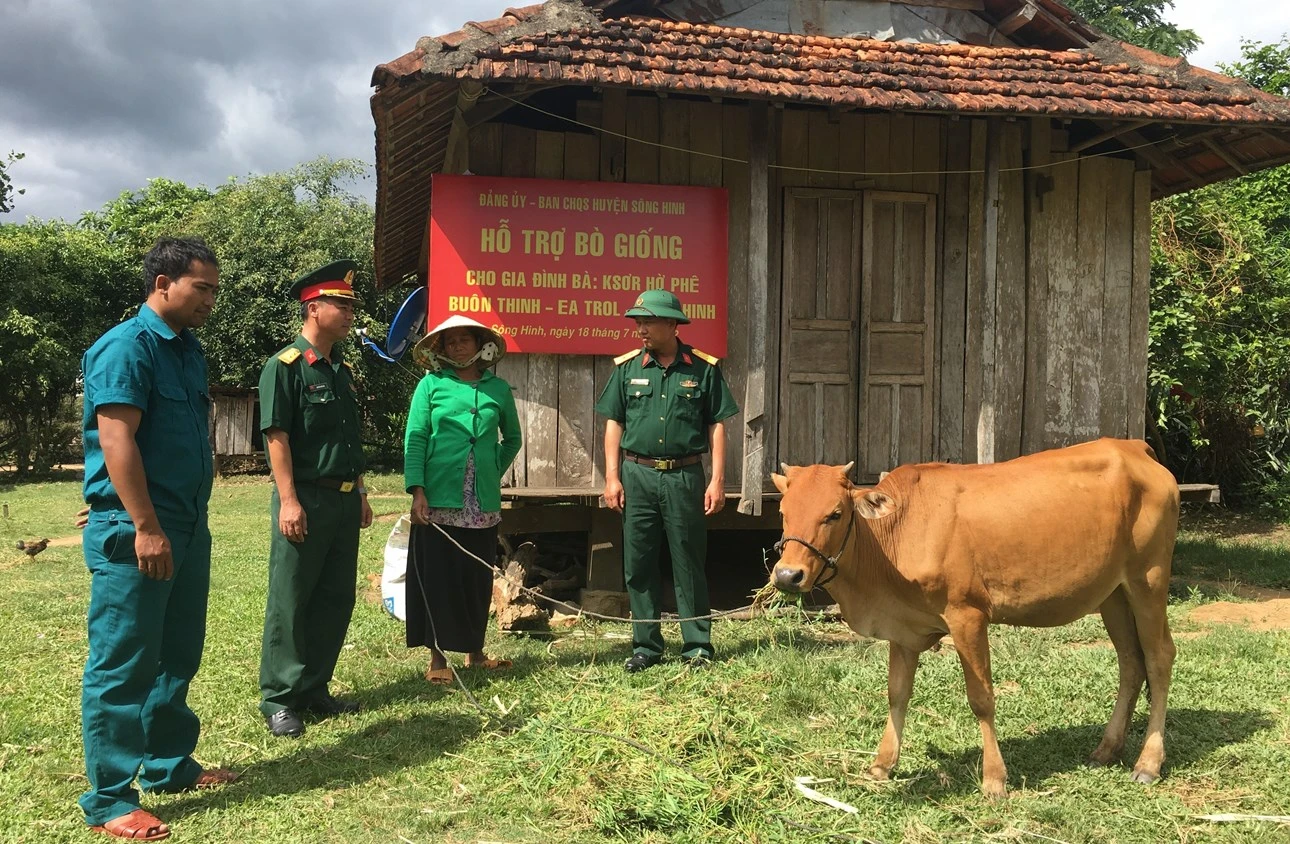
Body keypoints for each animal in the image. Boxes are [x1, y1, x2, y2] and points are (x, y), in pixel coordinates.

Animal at [763, 438, 1181, 805]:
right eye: (784, 513)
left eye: (835, 514)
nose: (787, 575)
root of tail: (1134, 447)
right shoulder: (905, 627)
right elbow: (897, 693)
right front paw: (882, 764)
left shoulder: (968, 615)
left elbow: (981, 699)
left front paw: (994, 779)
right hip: (1113, 594)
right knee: (1131, 662)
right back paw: (1107, 749)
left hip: (1149, 579)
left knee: (1159, 657)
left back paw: (1148, 762)